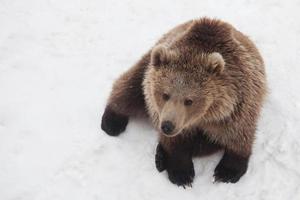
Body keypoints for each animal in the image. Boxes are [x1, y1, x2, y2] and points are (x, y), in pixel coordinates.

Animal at [101, 18, 268, 187]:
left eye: (189, 100)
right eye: (165, 94)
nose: (167, 126)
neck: (205, 115)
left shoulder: (236, 108)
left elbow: (238, 136)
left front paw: (226, 172)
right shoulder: (159, 108)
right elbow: (176, 144)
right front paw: (181, 173)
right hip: (148, 65)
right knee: (129, 88)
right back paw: (112, 123)